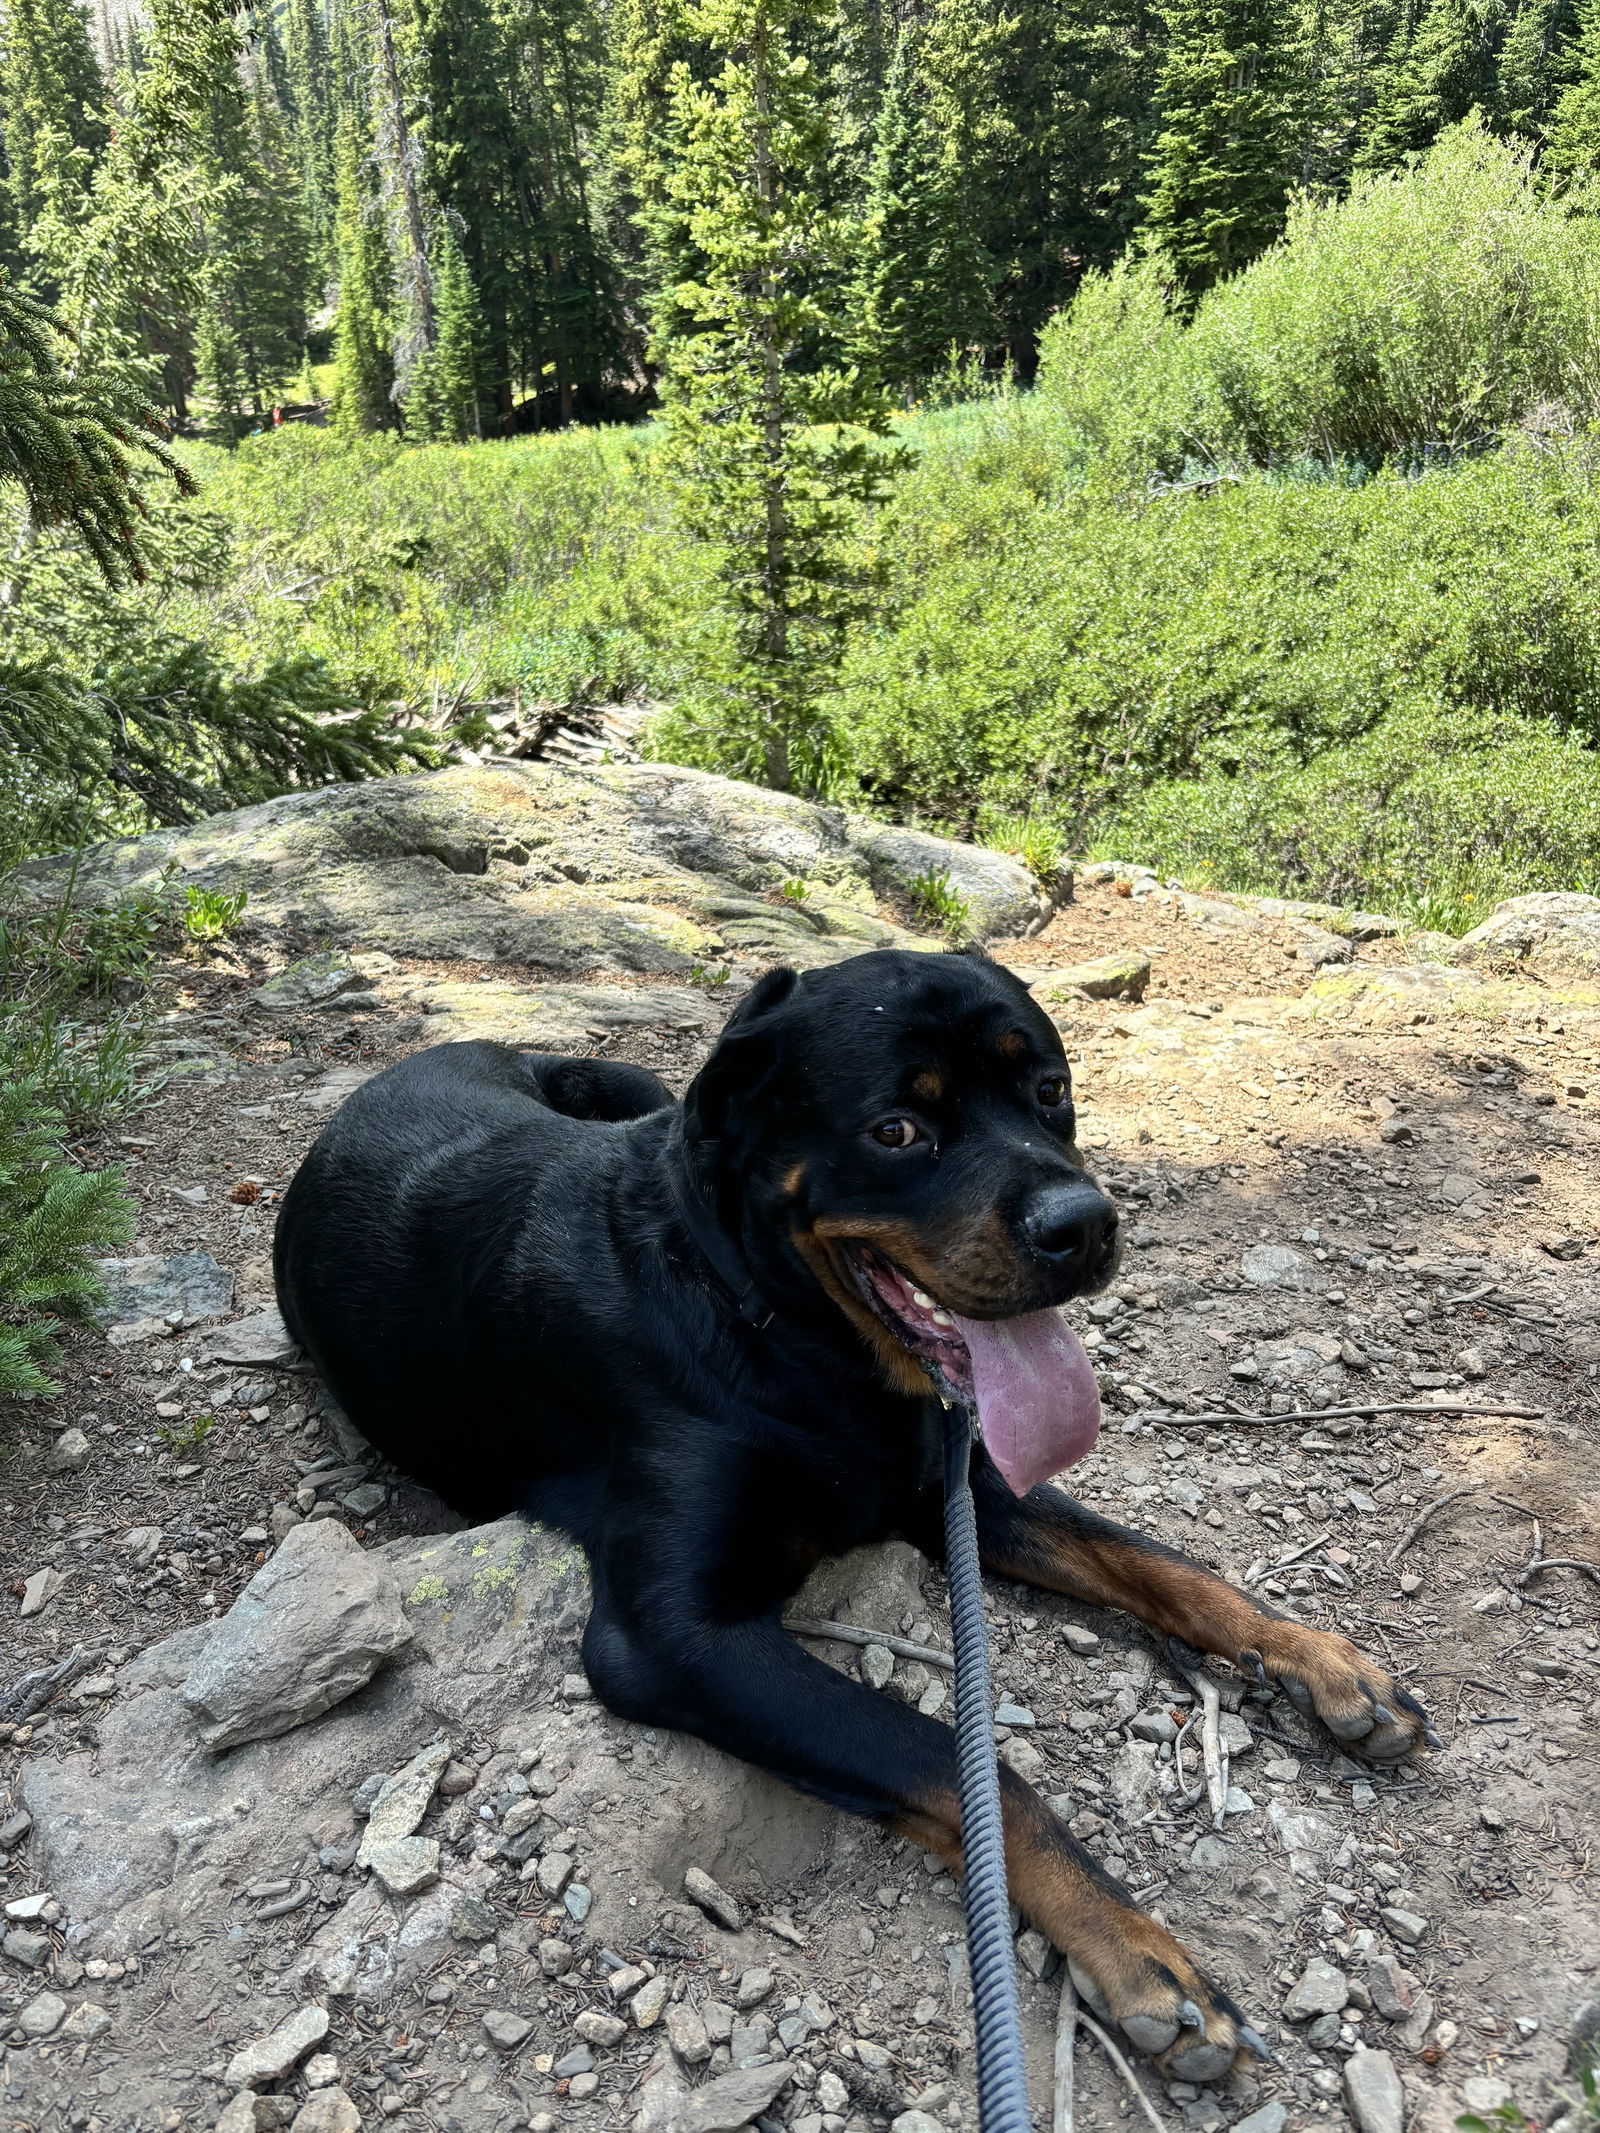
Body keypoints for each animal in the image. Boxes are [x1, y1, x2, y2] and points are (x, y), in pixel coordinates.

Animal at [279, 951, 1442, 2081]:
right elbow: (961, 1764)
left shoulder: (957, 1490)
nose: (1087, 1226)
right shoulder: (671, 1636)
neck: (781, 1331)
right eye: (896, 1131)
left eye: (1051, 1091)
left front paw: (1320, 1659)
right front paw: (1133, 1947)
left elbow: (1160, 1564)